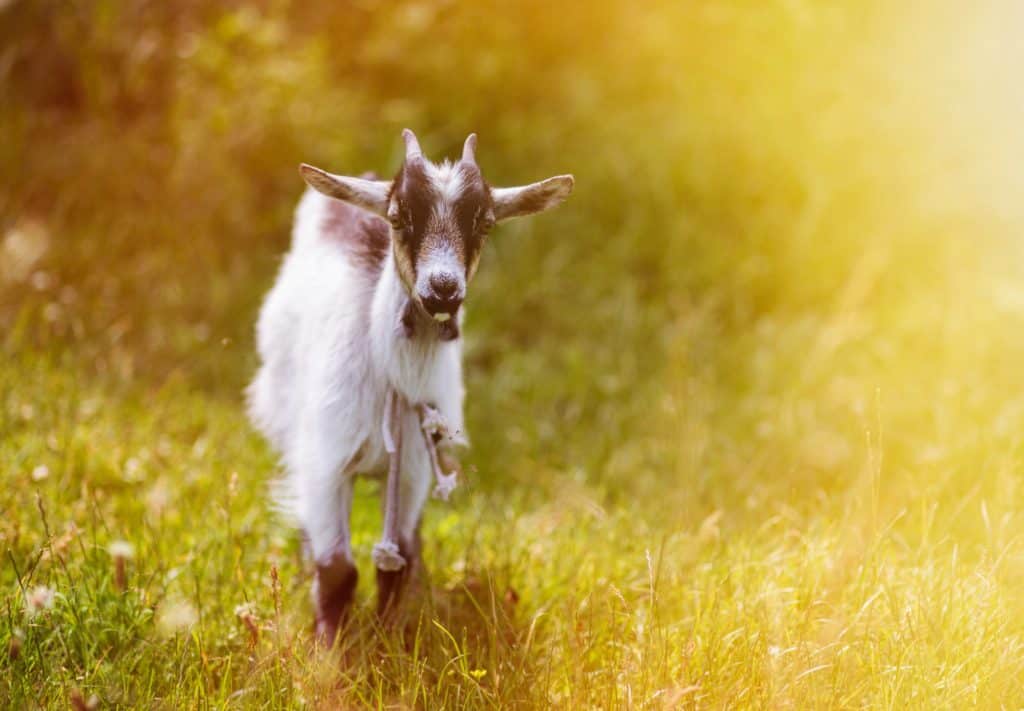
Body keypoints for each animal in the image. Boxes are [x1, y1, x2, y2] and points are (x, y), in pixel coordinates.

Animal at [247, 129, 573, 644]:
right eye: (399, 218)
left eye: (484, 223)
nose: (442, 289)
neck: (392, 377)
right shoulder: (327, 461)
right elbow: (338, 569)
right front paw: (327, 652)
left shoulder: (414, 468)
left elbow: (394, 565)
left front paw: (390, 644)